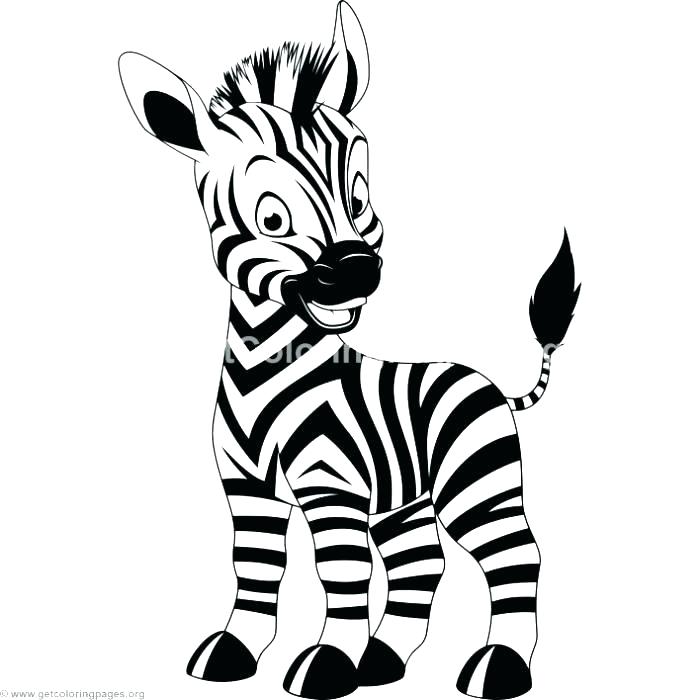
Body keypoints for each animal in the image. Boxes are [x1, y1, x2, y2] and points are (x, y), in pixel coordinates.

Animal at [118, 3, 580, 699]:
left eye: (359, 194)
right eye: (271, 219)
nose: (358, 269)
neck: (261, 369)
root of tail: (492, 384)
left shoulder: (331, 486)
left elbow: (342, 575)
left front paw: (328, 664)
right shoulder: (248, 490)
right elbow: (257, 572)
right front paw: (235, 649)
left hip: (476, 481)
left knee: (515, 553)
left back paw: (498, 666)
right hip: (404, 499)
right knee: (421, 563)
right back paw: (384, 662)